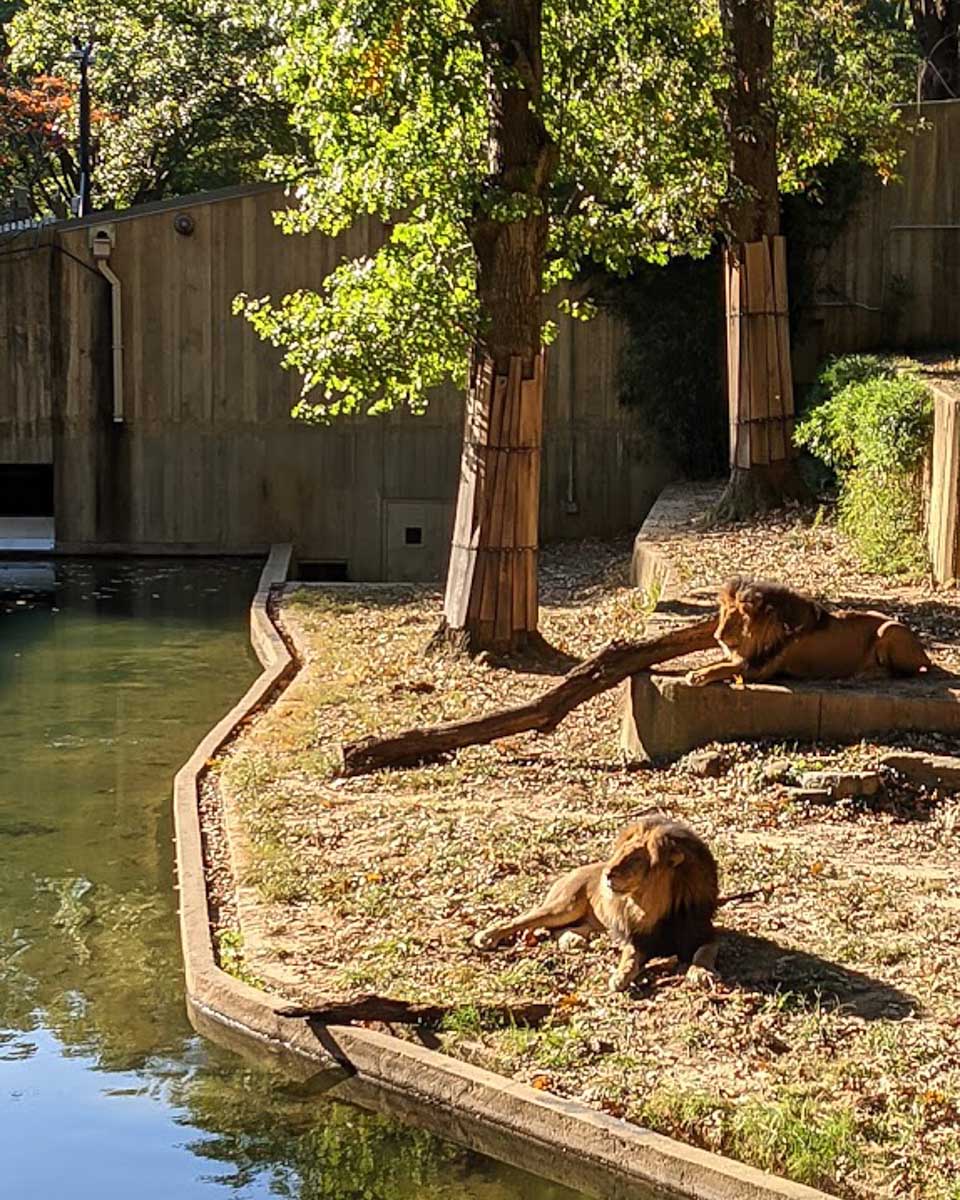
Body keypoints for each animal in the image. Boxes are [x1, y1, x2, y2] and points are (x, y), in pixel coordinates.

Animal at [472, 814, 719, 992]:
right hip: (565, 905)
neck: (659, 906)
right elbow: (630, 957)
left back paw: (573, 939)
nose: (607, 874)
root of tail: (574, 870)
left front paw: (700, 972)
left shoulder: (706, 935)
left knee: (564, 929)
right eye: (621, 852)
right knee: (523, 919)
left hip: (591, 920)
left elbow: (704, 953)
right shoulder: (637, 940)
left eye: (635, 859)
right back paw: (486, 936)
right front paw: (620, 977)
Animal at [686, 576, 932, 687]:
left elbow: (722, 667)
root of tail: (924, 653)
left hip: (888, 630)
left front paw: (696, 676)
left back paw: (861, 675)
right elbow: (718, 662)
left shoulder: (758, 669)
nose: (717, 637)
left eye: (735, 618)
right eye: (722, 615)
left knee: (899, 672)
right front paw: (696, 670)